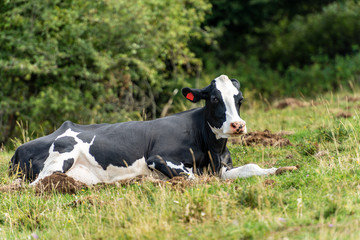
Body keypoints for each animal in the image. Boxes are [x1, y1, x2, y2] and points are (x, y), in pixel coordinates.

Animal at [9, 75, 294, 186]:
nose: (238, 125)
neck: (211, 149)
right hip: (62, 153)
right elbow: (193, 177)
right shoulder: (158, 157)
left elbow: (252, 168)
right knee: (36, 184)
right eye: (214, 98)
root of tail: (18, 149)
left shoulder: (222, 167)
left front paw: (283, 168)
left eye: (240, 99)